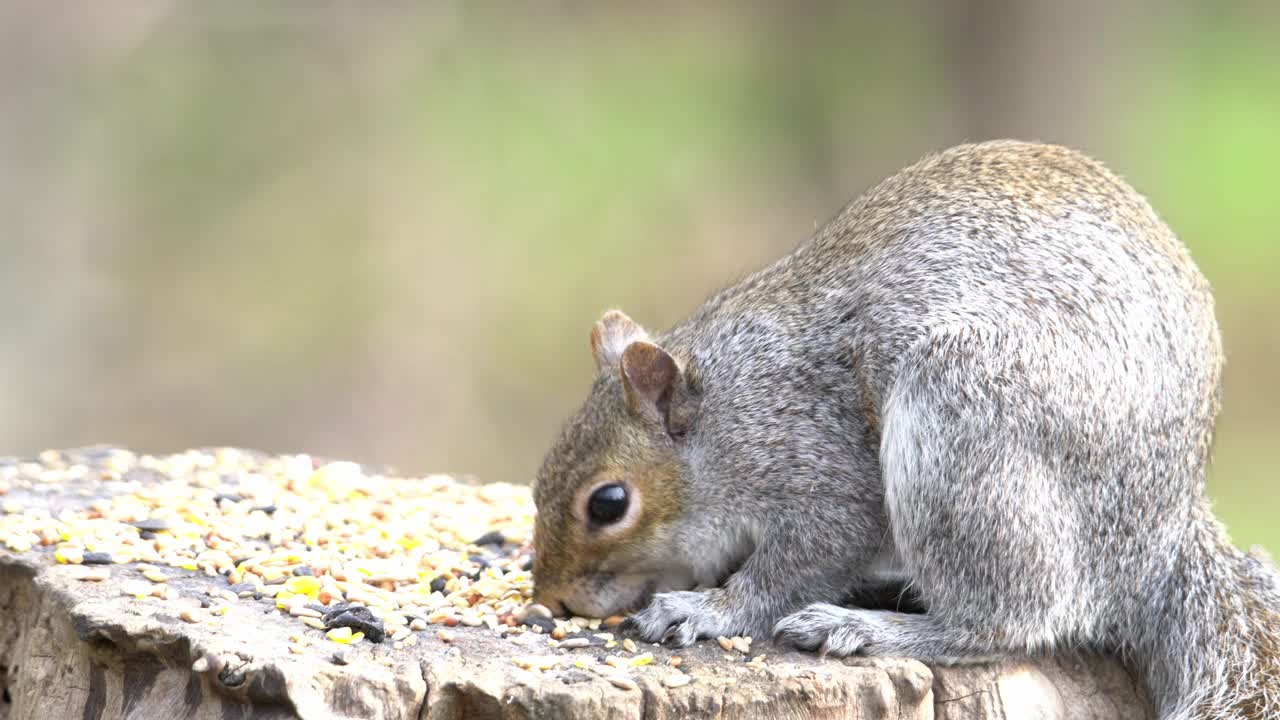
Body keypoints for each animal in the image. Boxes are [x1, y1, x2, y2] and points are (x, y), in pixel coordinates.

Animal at [527, 141, 1280, 717]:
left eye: (609, 503)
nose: (551, 601)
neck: (731, 411)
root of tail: (1160, 543)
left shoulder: (818, 461)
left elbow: (797, 564)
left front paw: (708, 609)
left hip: (966, 426)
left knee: (1010, 618)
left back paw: (865, 627)